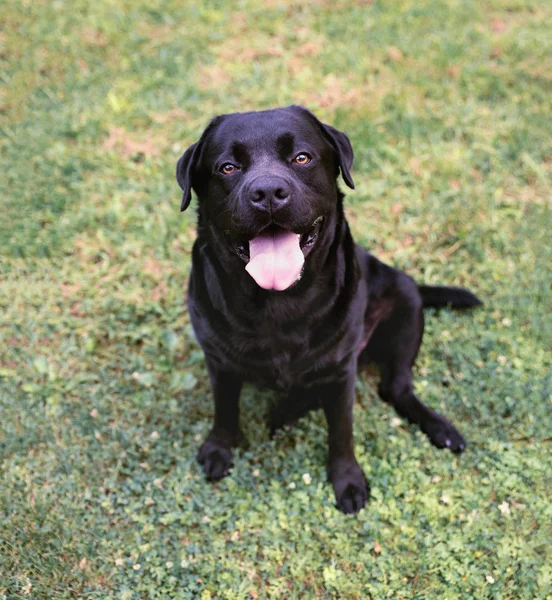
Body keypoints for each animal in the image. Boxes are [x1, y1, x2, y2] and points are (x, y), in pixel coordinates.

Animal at [176, 105, 478, 512]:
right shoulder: (218, 361)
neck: (279, 301)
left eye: (302, 158)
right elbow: (224, 409)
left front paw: (347, 479)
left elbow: (341, 431)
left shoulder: (340, 371)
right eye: (227, 167)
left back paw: (439, 427)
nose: (267, 192)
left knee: (395, 389)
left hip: (405, 304)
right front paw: (219, 448)